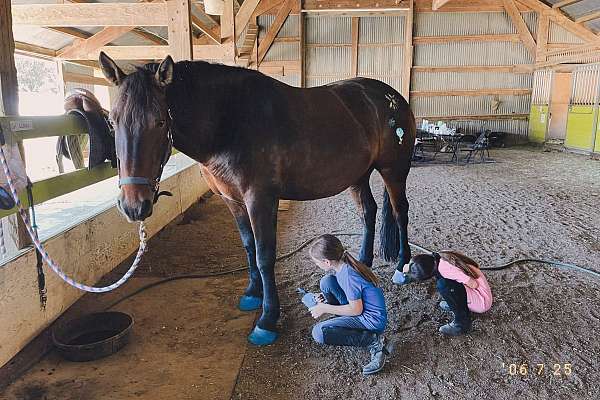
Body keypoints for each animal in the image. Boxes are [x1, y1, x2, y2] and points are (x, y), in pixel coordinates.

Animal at [99, 51, 418, 346]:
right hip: (358, 176)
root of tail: (392, 96)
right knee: (369, 211)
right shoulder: (233, 201)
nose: (133, 205)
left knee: (400, 211)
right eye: (112, 121)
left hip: (393, 170)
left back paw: (402, 266)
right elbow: (248, 247)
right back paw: (362, 263)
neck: (230, 120)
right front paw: (253, 294)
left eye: (159, 121)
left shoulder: (260, 199)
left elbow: (265, 256)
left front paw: (267, 319)